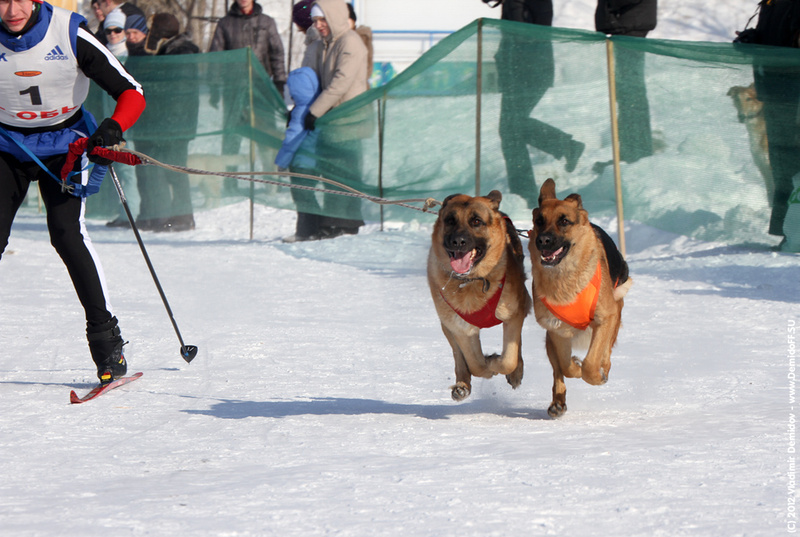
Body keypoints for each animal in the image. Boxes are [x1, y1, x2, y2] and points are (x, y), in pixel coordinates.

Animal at [427, 190, 532, 402]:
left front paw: (499, 363)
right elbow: (475, 363)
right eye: (450, 220)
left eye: (476, 221)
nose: (458, 241)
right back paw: (462, 385)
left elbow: (508, 359)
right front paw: (488, 364)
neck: (472, 280)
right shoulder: (460, 327)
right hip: (446, 325)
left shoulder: (514, 316)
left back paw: (515, 372)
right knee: (459, 357)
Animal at [529, 179, 632, 418]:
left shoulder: (605, 319)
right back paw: (558, 401)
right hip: (549, 340)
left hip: (613, 318)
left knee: (605, 352)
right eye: (539, 221)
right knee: (558, 371)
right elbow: (566, 366)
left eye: (564, 221)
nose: (542, 240)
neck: (566, 278)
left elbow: (591, 363)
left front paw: (596, 374)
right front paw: (575, 367)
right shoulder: (556, 329)